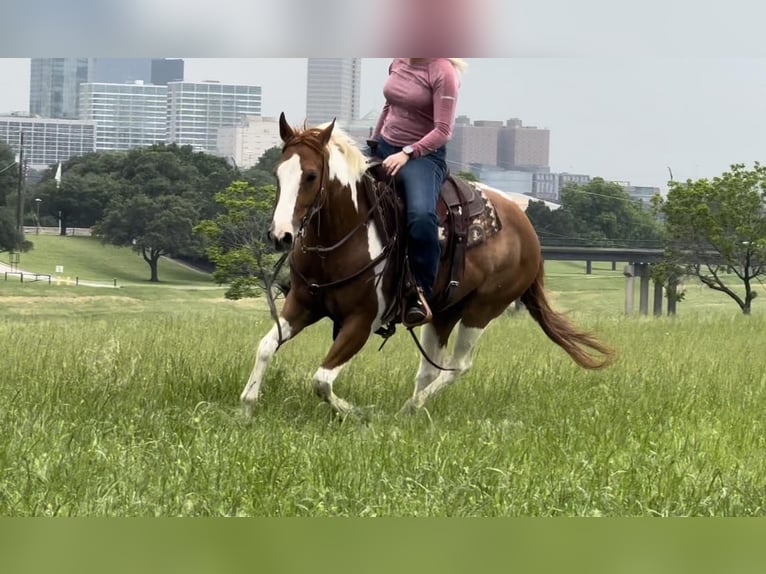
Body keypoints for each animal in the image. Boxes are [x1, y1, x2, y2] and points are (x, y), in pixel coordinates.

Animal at [237, 113, 616, 418]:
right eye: (277, 174)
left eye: (312, 176)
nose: (281, 235)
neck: (344, 235)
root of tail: (529, 232)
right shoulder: (302, 304)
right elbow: (266, 347)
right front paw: (247, 405)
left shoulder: (361, 321)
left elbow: (322, 379)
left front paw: (356, 412)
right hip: (444, 310)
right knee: (430, 370)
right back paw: (409, 411)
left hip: (482, 309)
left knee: (457, 367)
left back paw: (410, 409)